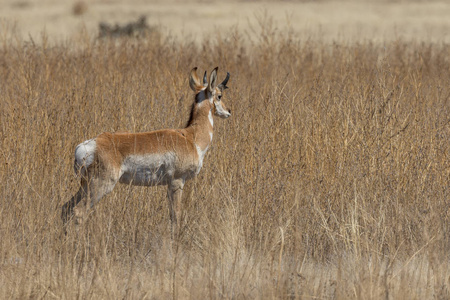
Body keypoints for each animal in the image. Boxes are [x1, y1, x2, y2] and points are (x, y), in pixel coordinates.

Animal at [61, 67, 230, 238]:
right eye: (219, 95)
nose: (229, 111)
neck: (190, 137)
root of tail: (87, 145)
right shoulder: (177, 182)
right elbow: (176, 216)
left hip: (85, 185)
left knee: (66, 208)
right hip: (100, 185)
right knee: (78, 211)